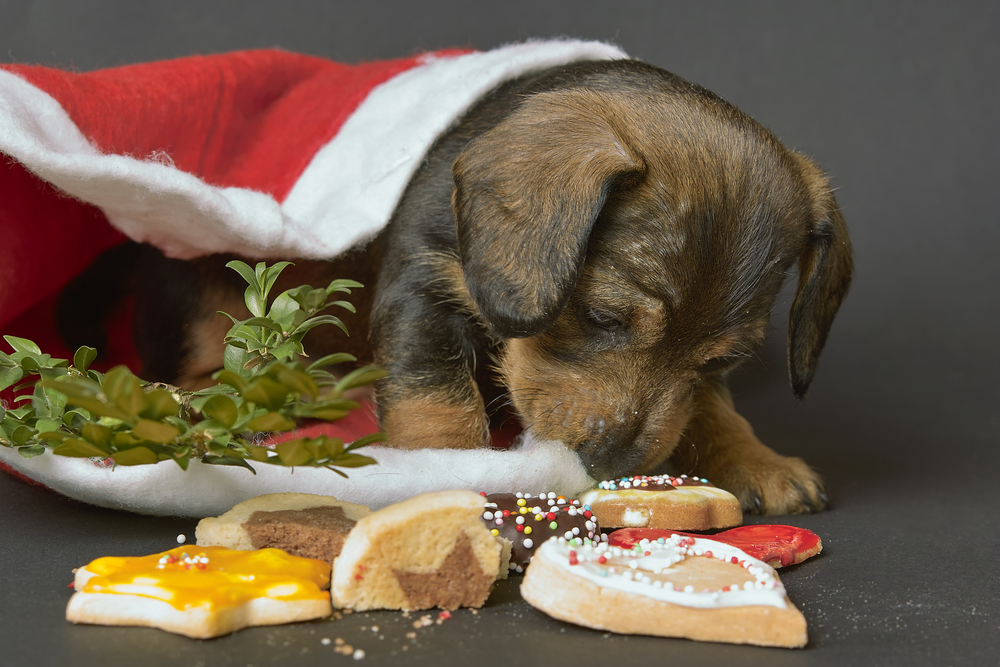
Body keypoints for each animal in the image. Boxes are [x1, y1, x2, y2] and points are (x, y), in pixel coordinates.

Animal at [60, 58, 852, 516]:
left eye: (724, 360)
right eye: (601, 316)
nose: (612, 464)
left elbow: (709, 410)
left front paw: (756, 459)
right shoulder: (422, 287)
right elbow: (434, 395)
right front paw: (447, 468)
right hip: (205, 297)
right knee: (206, 364)